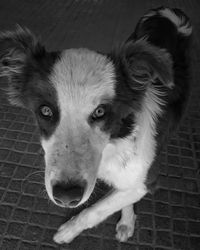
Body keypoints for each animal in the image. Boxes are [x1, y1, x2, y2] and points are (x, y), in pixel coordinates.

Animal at [0, 6, 192, 244]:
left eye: (100, 111)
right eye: (45, 110)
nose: (66, 196)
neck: (114, 144)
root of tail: (169, 10)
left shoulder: (147, 181)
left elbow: (95, 210)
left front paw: (69, 230)